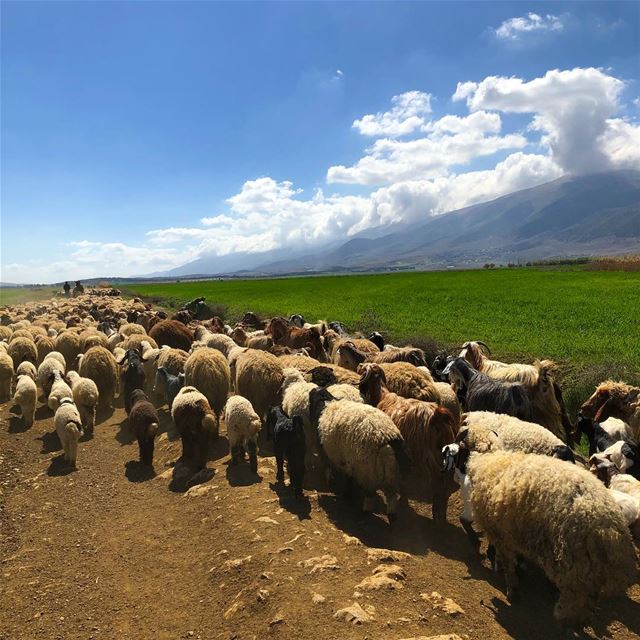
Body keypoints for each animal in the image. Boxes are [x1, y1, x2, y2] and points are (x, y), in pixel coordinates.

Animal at [358, 362, 458, 524]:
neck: (382, 394)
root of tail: (437, 416)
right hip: (443, 454)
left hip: (425, 456)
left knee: (437, 485)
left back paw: (436, 515)